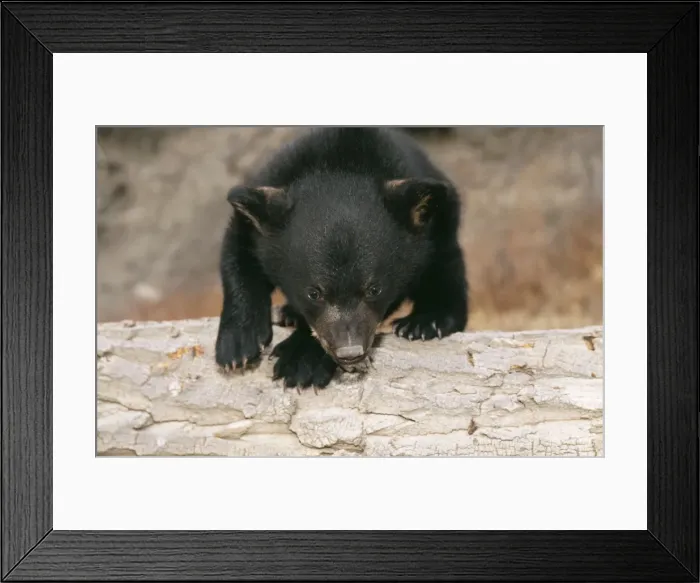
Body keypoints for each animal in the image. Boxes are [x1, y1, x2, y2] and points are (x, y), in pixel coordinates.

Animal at [215, 127, 468, 389]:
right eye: (313, 293)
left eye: (374, 289)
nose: (350, 352)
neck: (340, 163)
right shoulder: (260, 206)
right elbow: (237, 254)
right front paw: (238, 346)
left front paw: (301, 360)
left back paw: (424, 322)